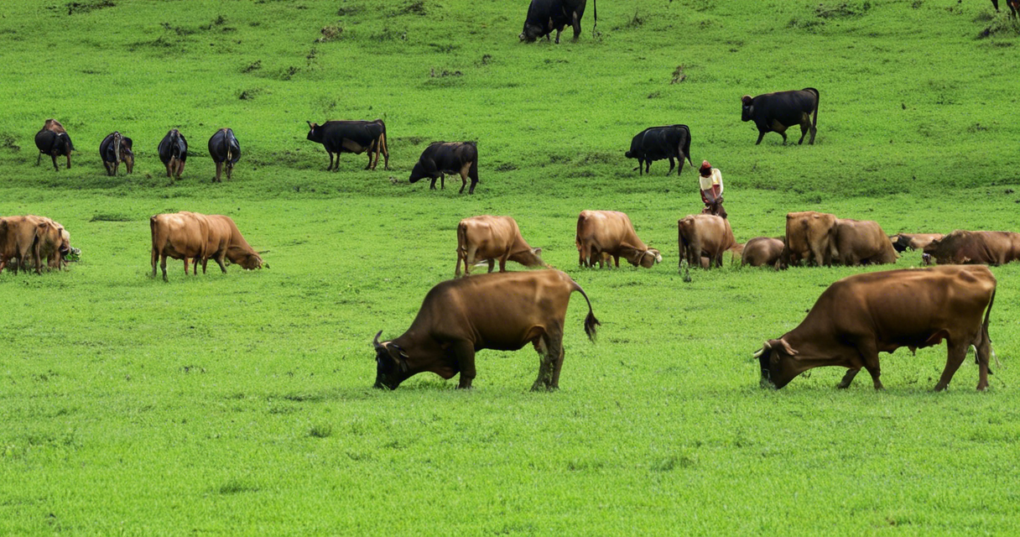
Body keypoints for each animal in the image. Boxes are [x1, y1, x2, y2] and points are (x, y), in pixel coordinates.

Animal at [372, 270, 599, 391]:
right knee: (551, 356)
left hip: (553, 329)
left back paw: (545, 386)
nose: (377, 385)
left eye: (386, 361)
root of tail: (563, 277)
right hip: (540, 334)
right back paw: (545, 386)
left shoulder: (463, 342)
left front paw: (463, 389)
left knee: (553, 356)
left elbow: (468, 370)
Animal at [754, 265, 997, 392]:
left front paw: (879, 387)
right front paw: (844, 381)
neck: (833, 307)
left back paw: (939, 385)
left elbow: (872, 366)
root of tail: (980, 270)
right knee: (983, 350)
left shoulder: (864, 339)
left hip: (959, 334)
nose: (764, 385)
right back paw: (982, 385)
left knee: (956, 358)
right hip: (974, 331)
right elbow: (858, 366)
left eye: (774, 360)